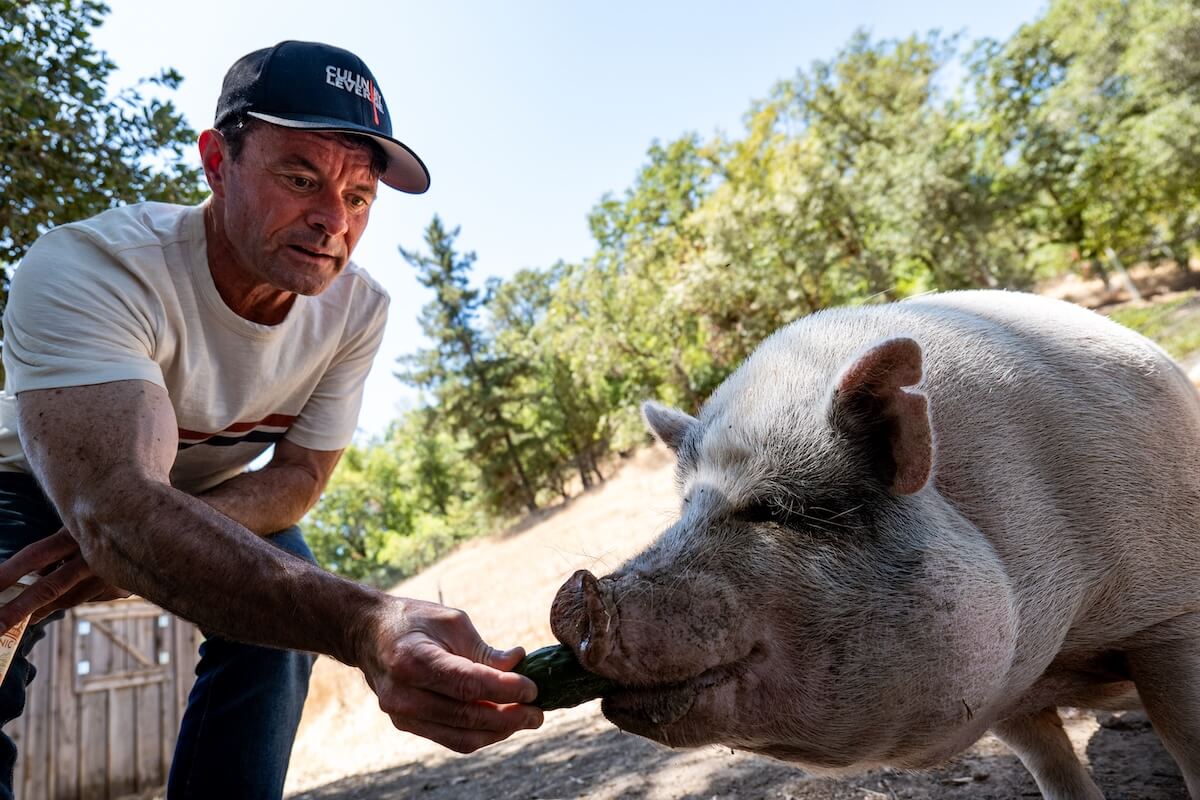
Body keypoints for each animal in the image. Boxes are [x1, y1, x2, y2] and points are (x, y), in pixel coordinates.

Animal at [550, 290, 1200, 800]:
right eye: (687, 509)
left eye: (773, 509)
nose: (576, 595)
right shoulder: (1008, 696)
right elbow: (1056, 774)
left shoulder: (1171, 619)